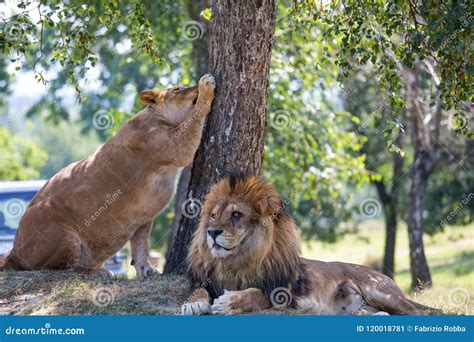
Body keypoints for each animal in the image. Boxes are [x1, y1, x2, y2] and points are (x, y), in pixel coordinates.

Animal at [0, 74, 216, 278]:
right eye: (177, 89)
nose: (195, 86)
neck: (157, 116)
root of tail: (13, 252)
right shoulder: (174, 144)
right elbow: (195, 116)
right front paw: (206, 86)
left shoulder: (143, 220)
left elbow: (141, 246)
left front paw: (146, 270)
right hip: (62, 232)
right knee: (67, 269)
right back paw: (98, 272)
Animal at [181, 176, 440, 316]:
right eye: (213, 216)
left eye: (236, 215)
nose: (212, 232)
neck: (235, 262)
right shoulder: (207, 279)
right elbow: (197, 290)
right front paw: (193, 305)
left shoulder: (282, 294)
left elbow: (255, 294)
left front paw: (228, 302)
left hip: (379, 291)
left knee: (417, 311)